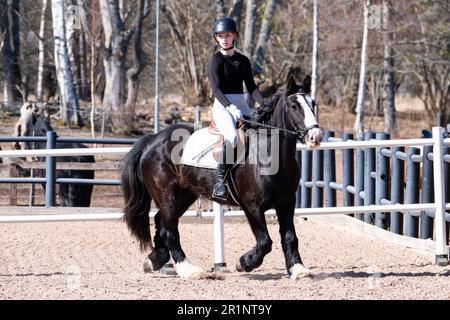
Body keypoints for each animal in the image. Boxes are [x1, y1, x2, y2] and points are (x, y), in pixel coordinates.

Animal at [121, 76, 322, 278]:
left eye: (313, 103)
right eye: (294, 106)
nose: (316, 136)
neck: (269, 154)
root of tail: (153, 139)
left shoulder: (286, 202)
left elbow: (290, 237)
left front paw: (298, 269)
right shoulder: (252, 206)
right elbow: (265, 241)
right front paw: (244, 263)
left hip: (183, 196)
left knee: (161, 223)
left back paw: (154, 260)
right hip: (166, 195)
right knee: (170, 230)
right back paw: (189, 270)